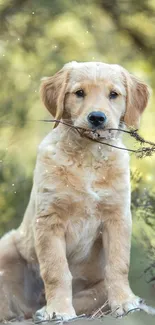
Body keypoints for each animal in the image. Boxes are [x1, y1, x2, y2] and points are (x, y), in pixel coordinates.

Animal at [0, 62, 150, 320]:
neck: (88, 156)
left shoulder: (117, 217)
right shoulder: (49, 220)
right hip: (7, 247)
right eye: (79, 93)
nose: (97, 118)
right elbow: (56, 270)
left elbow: (118, 264)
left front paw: (125, 301)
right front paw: (58, 310)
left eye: (114, 94)